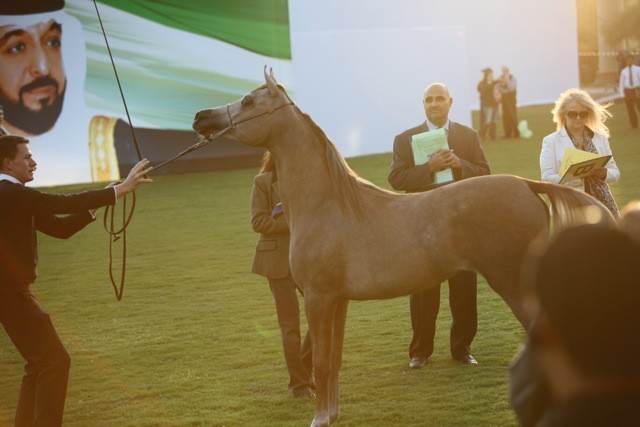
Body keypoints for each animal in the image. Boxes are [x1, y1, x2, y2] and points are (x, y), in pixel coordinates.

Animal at [193, 69, 614, 426]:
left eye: (249, 100)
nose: (201, 117)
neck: (329, 204)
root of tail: (526, 184)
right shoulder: (337, 302)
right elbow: (333, 359)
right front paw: (332, 414)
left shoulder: (317, 299)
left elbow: (323, 363)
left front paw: (318, 418)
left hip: (515, 285)